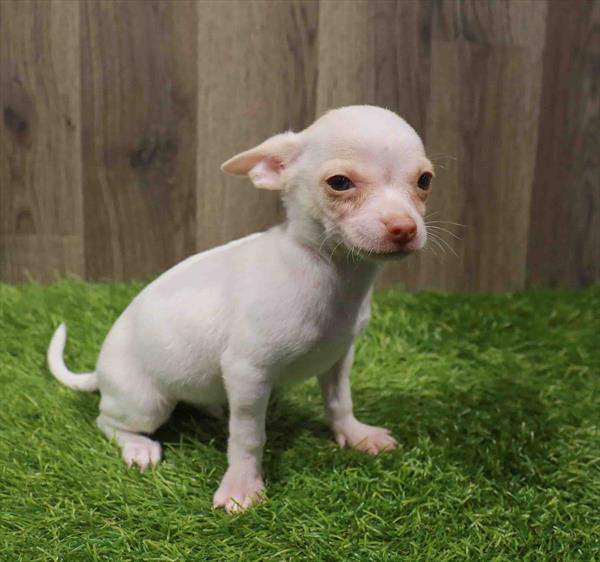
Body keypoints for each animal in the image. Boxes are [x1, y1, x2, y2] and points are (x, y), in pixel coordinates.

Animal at [45, 105, 432, 512]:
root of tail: (99, 372)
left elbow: (340, 401)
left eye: (424, 181)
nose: (404, 228)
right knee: (108, 422)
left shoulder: (338, 358)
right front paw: (242, 485)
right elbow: (248, 436)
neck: (331, 273)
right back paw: (137, 445)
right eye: (339, 183)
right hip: (146, 402)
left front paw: (355, 434)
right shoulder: (248, 372)